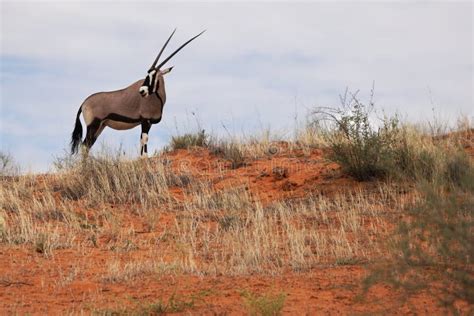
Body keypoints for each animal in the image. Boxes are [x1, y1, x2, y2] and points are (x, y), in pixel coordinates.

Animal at [71, 30, 205, 156]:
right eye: (148, 74)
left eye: (154, 75)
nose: (142, 91)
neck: (157, 97)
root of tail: (84, 103)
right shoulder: (145, 121)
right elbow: (144, 139)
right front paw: (145, 158)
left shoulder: (148, 123)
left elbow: (141, 140)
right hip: (93, 125)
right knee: (84, 146)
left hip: (101, 126)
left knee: (88, 145)